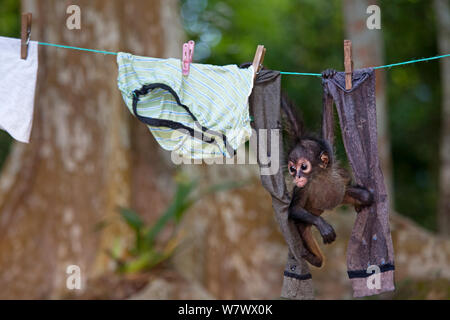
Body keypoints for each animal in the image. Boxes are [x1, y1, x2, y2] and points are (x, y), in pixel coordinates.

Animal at [282, 69, 372, 268]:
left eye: (303, 166)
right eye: (292, 169)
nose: (297, 176)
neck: (320, 176)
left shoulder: (329, 156)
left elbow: (328, 130)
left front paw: (327, 81)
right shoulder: (303, 188)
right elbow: (293, 209)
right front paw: (322, 225)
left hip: (342, 196)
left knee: (365, 196)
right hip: (304, 225)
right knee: (304, 233)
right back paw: (311, 258)